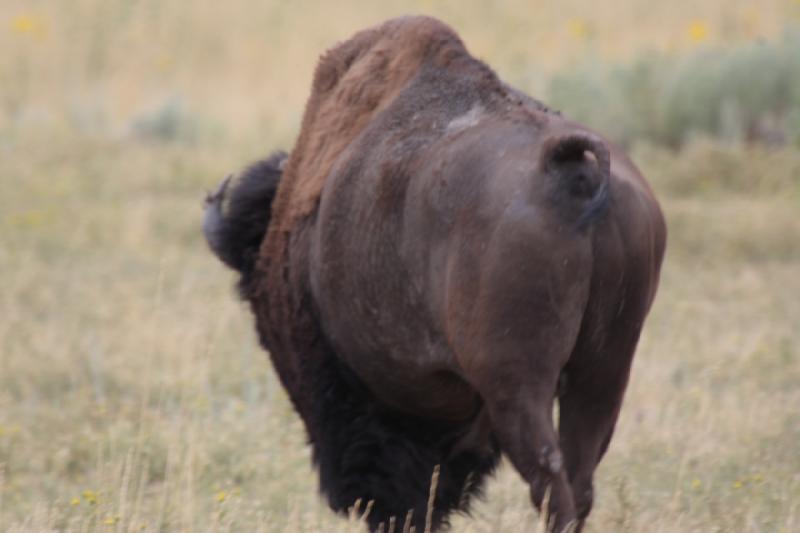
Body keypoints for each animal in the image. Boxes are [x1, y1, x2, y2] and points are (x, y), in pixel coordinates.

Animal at [203, 15, 664, 532]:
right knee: (580, 475)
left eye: (265, 328)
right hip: (606, 369)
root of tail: (572, 177)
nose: (351, 501)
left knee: (549, 476)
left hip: (519, 386)